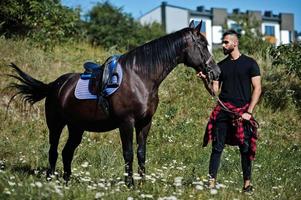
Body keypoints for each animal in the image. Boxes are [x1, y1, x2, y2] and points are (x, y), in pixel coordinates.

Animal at [7, 20, 219, 186]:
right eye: (202, 44)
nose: (216, 72)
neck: (140, 77)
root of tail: (54, 85)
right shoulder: (126, 123)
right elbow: (129, 153)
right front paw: (130, 184)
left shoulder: (145, 123)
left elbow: (141, 152)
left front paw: (143, 183)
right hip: (56, 125)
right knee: (53, 151)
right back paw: (51, 180)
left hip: (76, 128)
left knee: (67, 152)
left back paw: (66, 182)